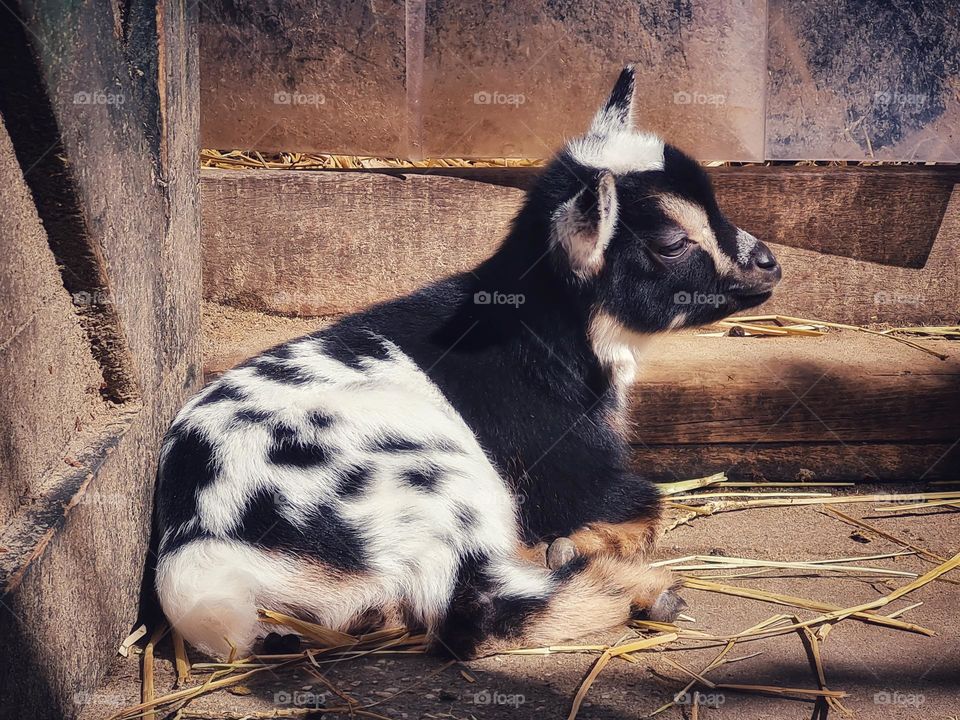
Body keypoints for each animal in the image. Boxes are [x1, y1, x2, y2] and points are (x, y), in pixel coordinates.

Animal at [156, 67, 780, 660]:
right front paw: (574, 545)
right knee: (481, 608)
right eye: (671, 243)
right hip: (435, 487)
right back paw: (642, 591)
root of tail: (204, 548)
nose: (769, 264)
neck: (539, 338)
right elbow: (646, 502)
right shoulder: (563, 470)